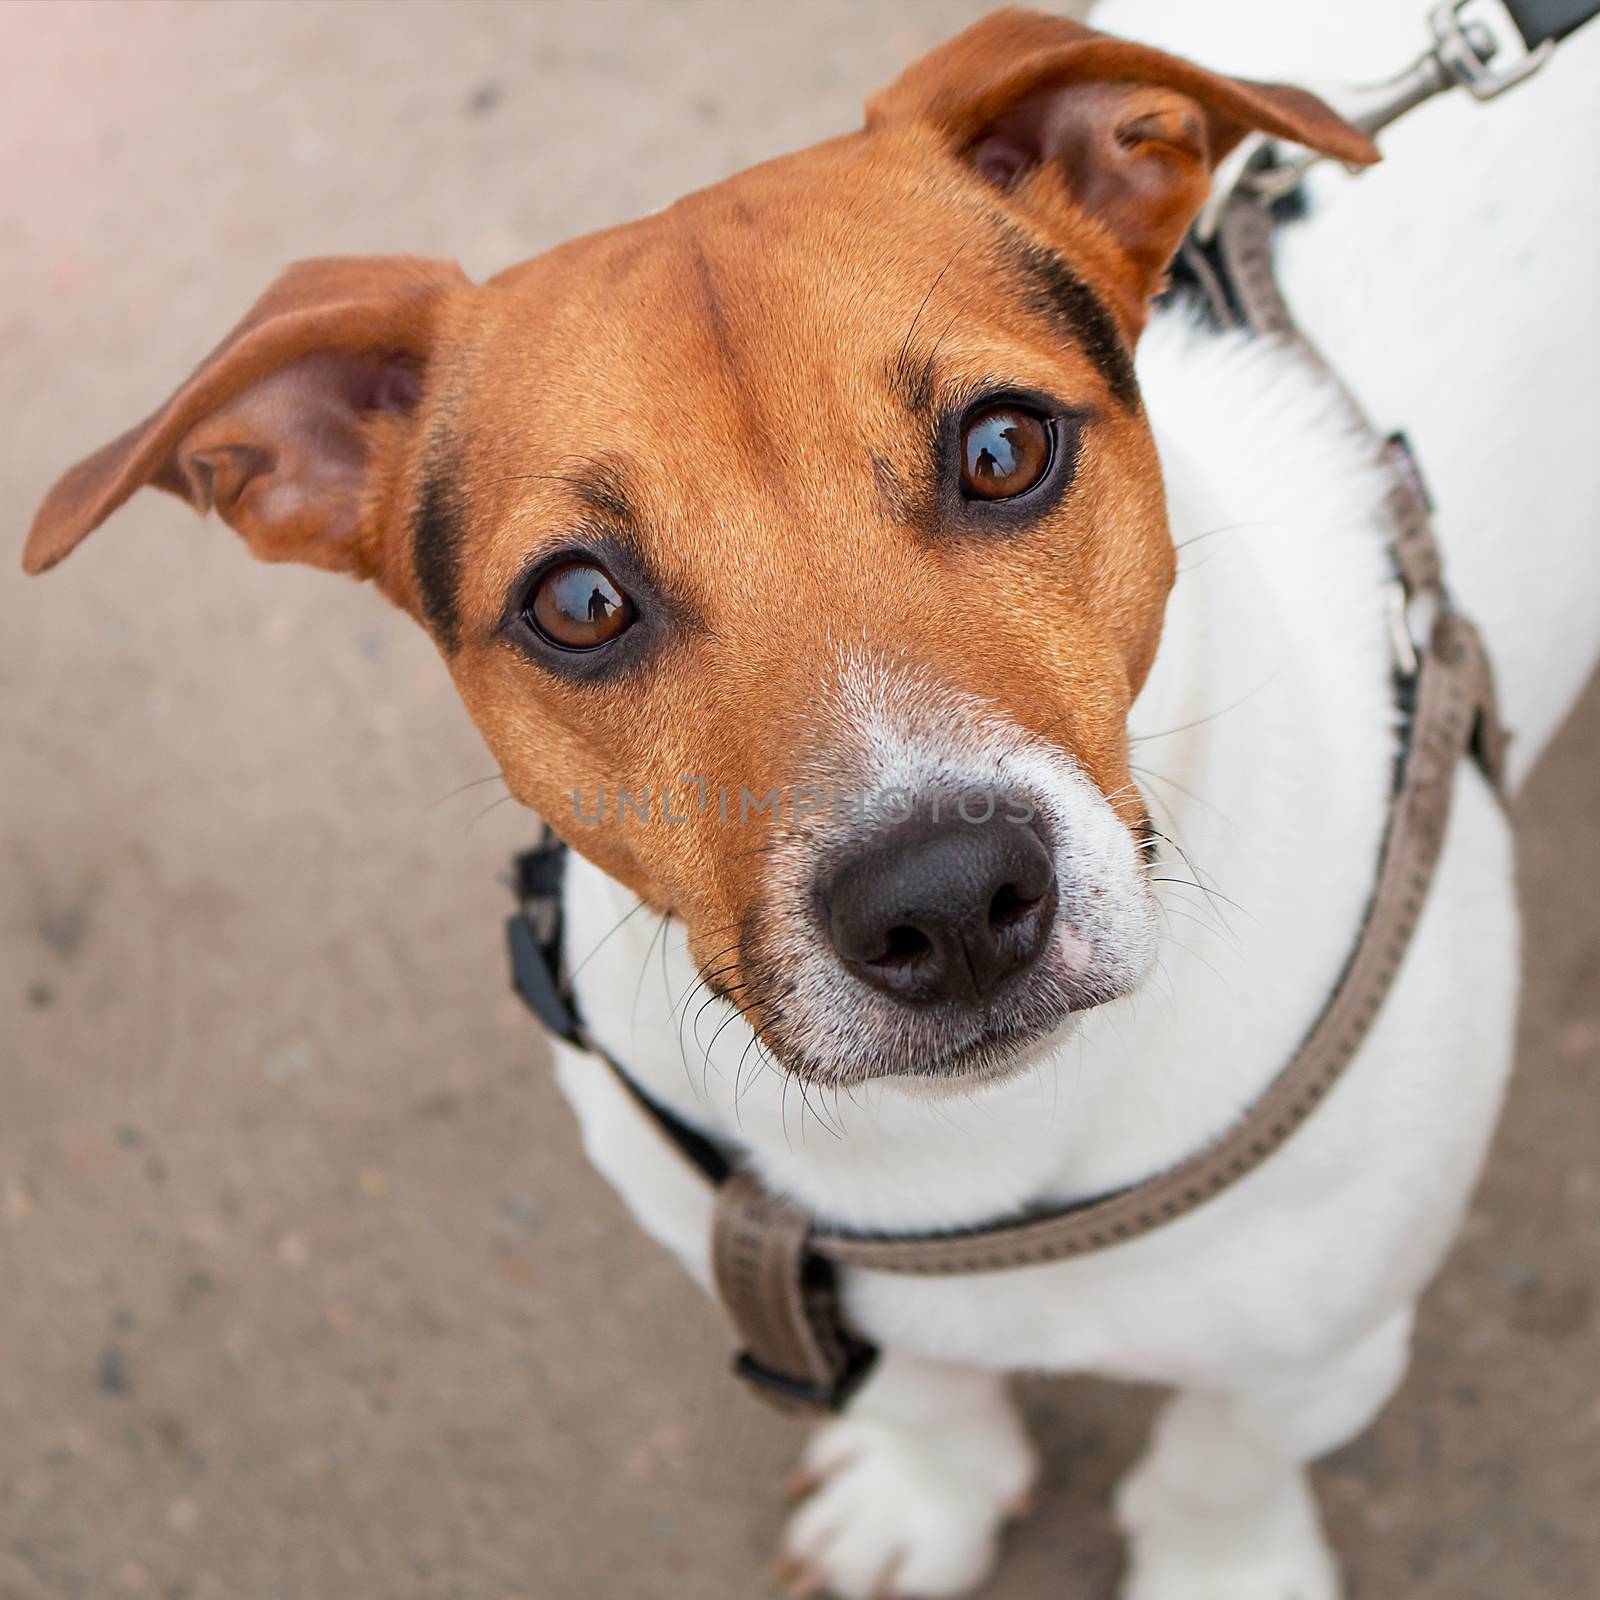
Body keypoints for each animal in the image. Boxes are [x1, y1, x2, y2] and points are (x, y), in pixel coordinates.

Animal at [18, 3, 1593, 1600]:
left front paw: (1223, 1572)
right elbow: (927, 1390)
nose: (946, 904)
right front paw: (924, 1495)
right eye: (577, 602)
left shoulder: (1321, 1347)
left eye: (1003, 447)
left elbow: (1220, 1469)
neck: (978, 1148)